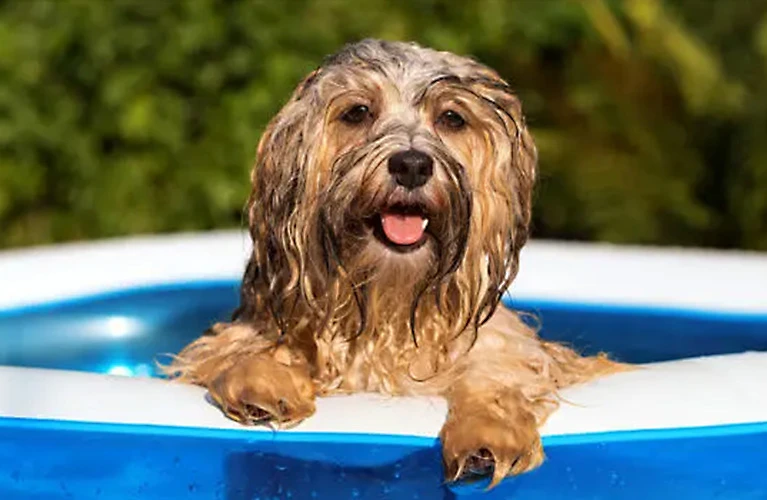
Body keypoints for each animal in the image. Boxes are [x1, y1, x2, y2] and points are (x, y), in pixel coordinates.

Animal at [166, 40, 624, 488]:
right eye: (357, 112)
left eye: (452, 118)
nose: (412, 164)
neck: (388, 302)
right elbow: (235, 350)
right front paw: (260, 381)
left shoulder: (506, 348)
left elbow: (498, 374)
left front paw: (487, 434)